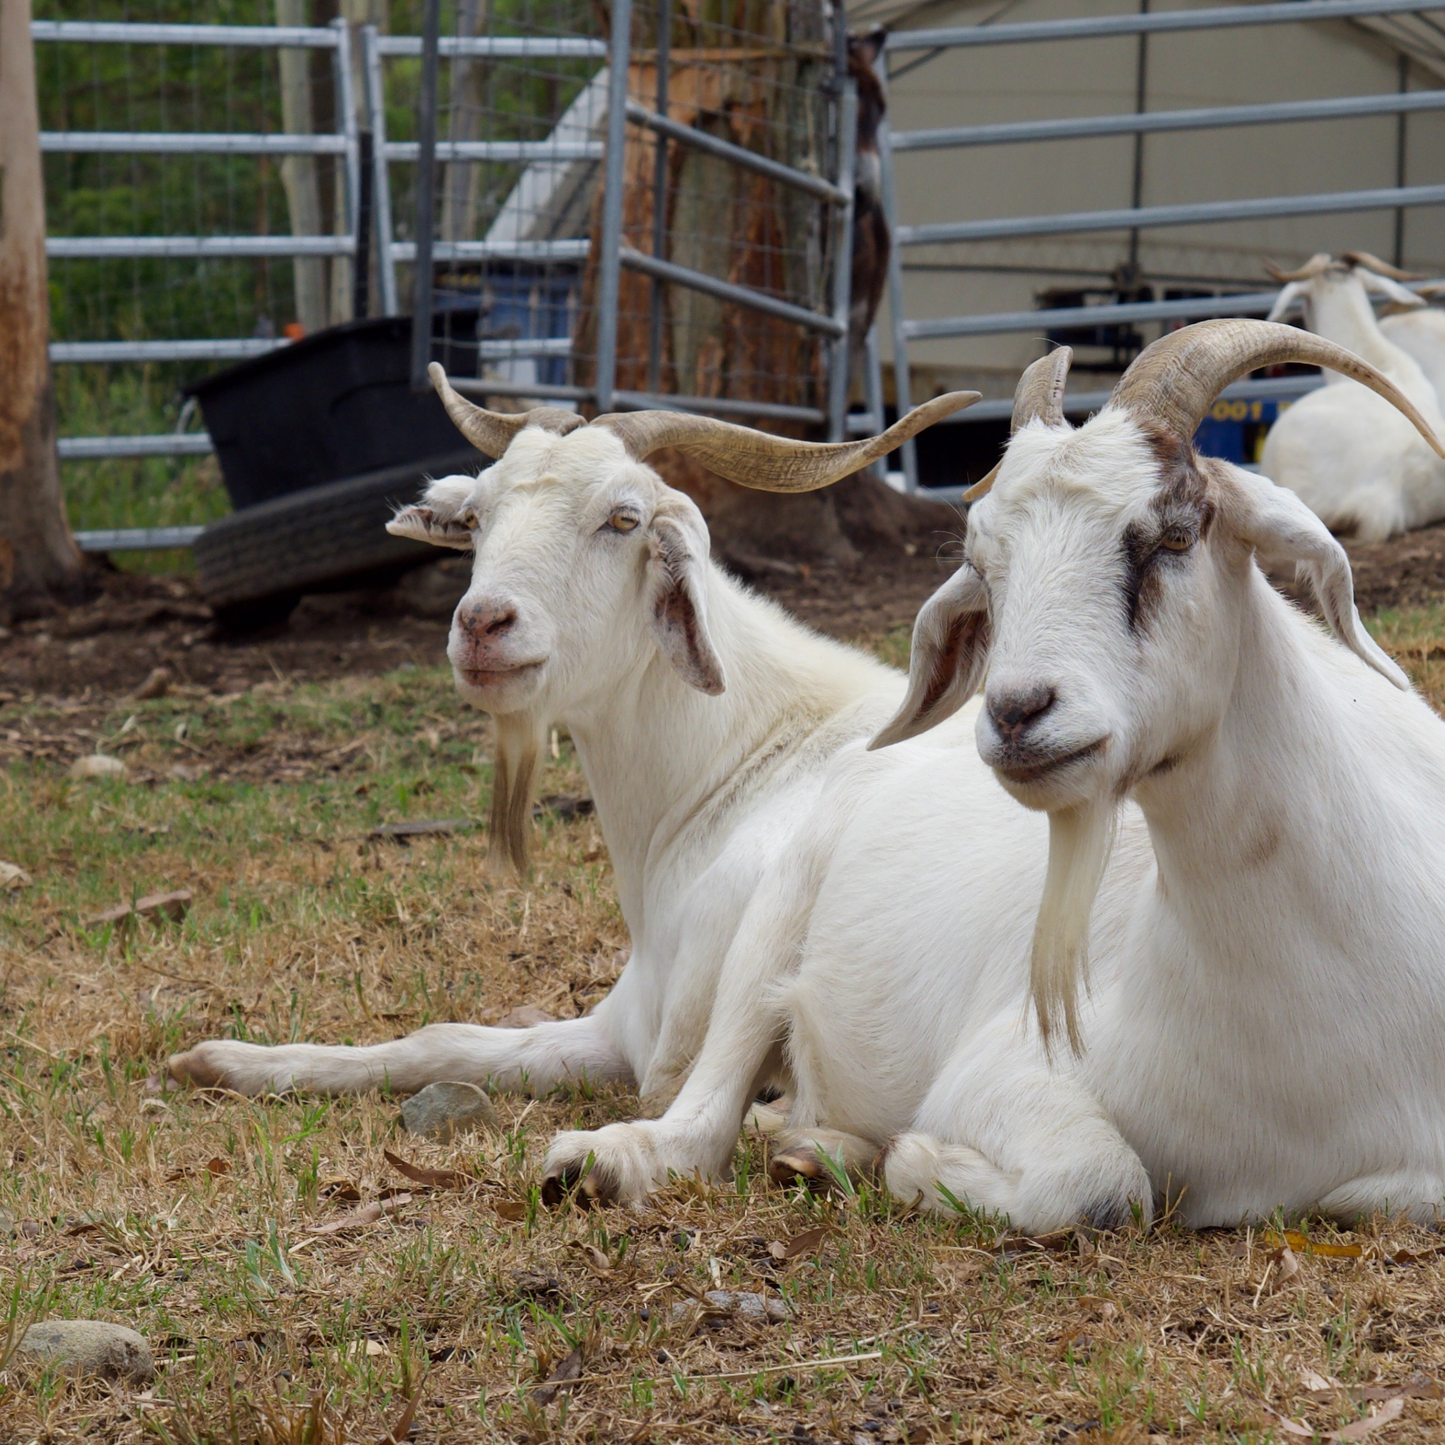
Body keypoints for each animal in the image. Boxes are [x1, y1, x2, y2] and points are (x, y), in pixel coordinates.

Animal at [165, 368, 980, 1123]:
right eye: (476, 517)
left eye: (622, 518)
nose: (483, 624)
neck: (745, 760)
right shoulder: (618, 1024)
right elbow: (440, 1039)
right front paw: (223, 1061)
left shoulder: (669, 1023)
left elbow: (666, 1085)